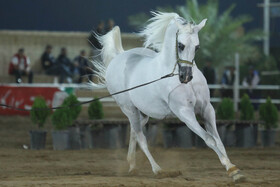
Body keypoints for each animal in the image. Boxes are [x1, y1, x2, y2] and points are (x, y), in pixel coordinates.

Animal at [92, 11, 245, 181]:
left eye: (197, 47)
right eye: (180, 45)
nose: (186, 76)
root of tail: (119, 57)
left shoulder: (207, 109)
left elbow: (219, 141)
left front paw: (233, 169)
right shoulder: (184, 113)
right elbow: (209, 139)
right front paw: (232, 169)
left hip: (142, 113)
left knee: (134, 132)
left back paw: (132, 166)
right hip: (129, 108)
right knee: (141, 138)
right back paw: (158, 170)